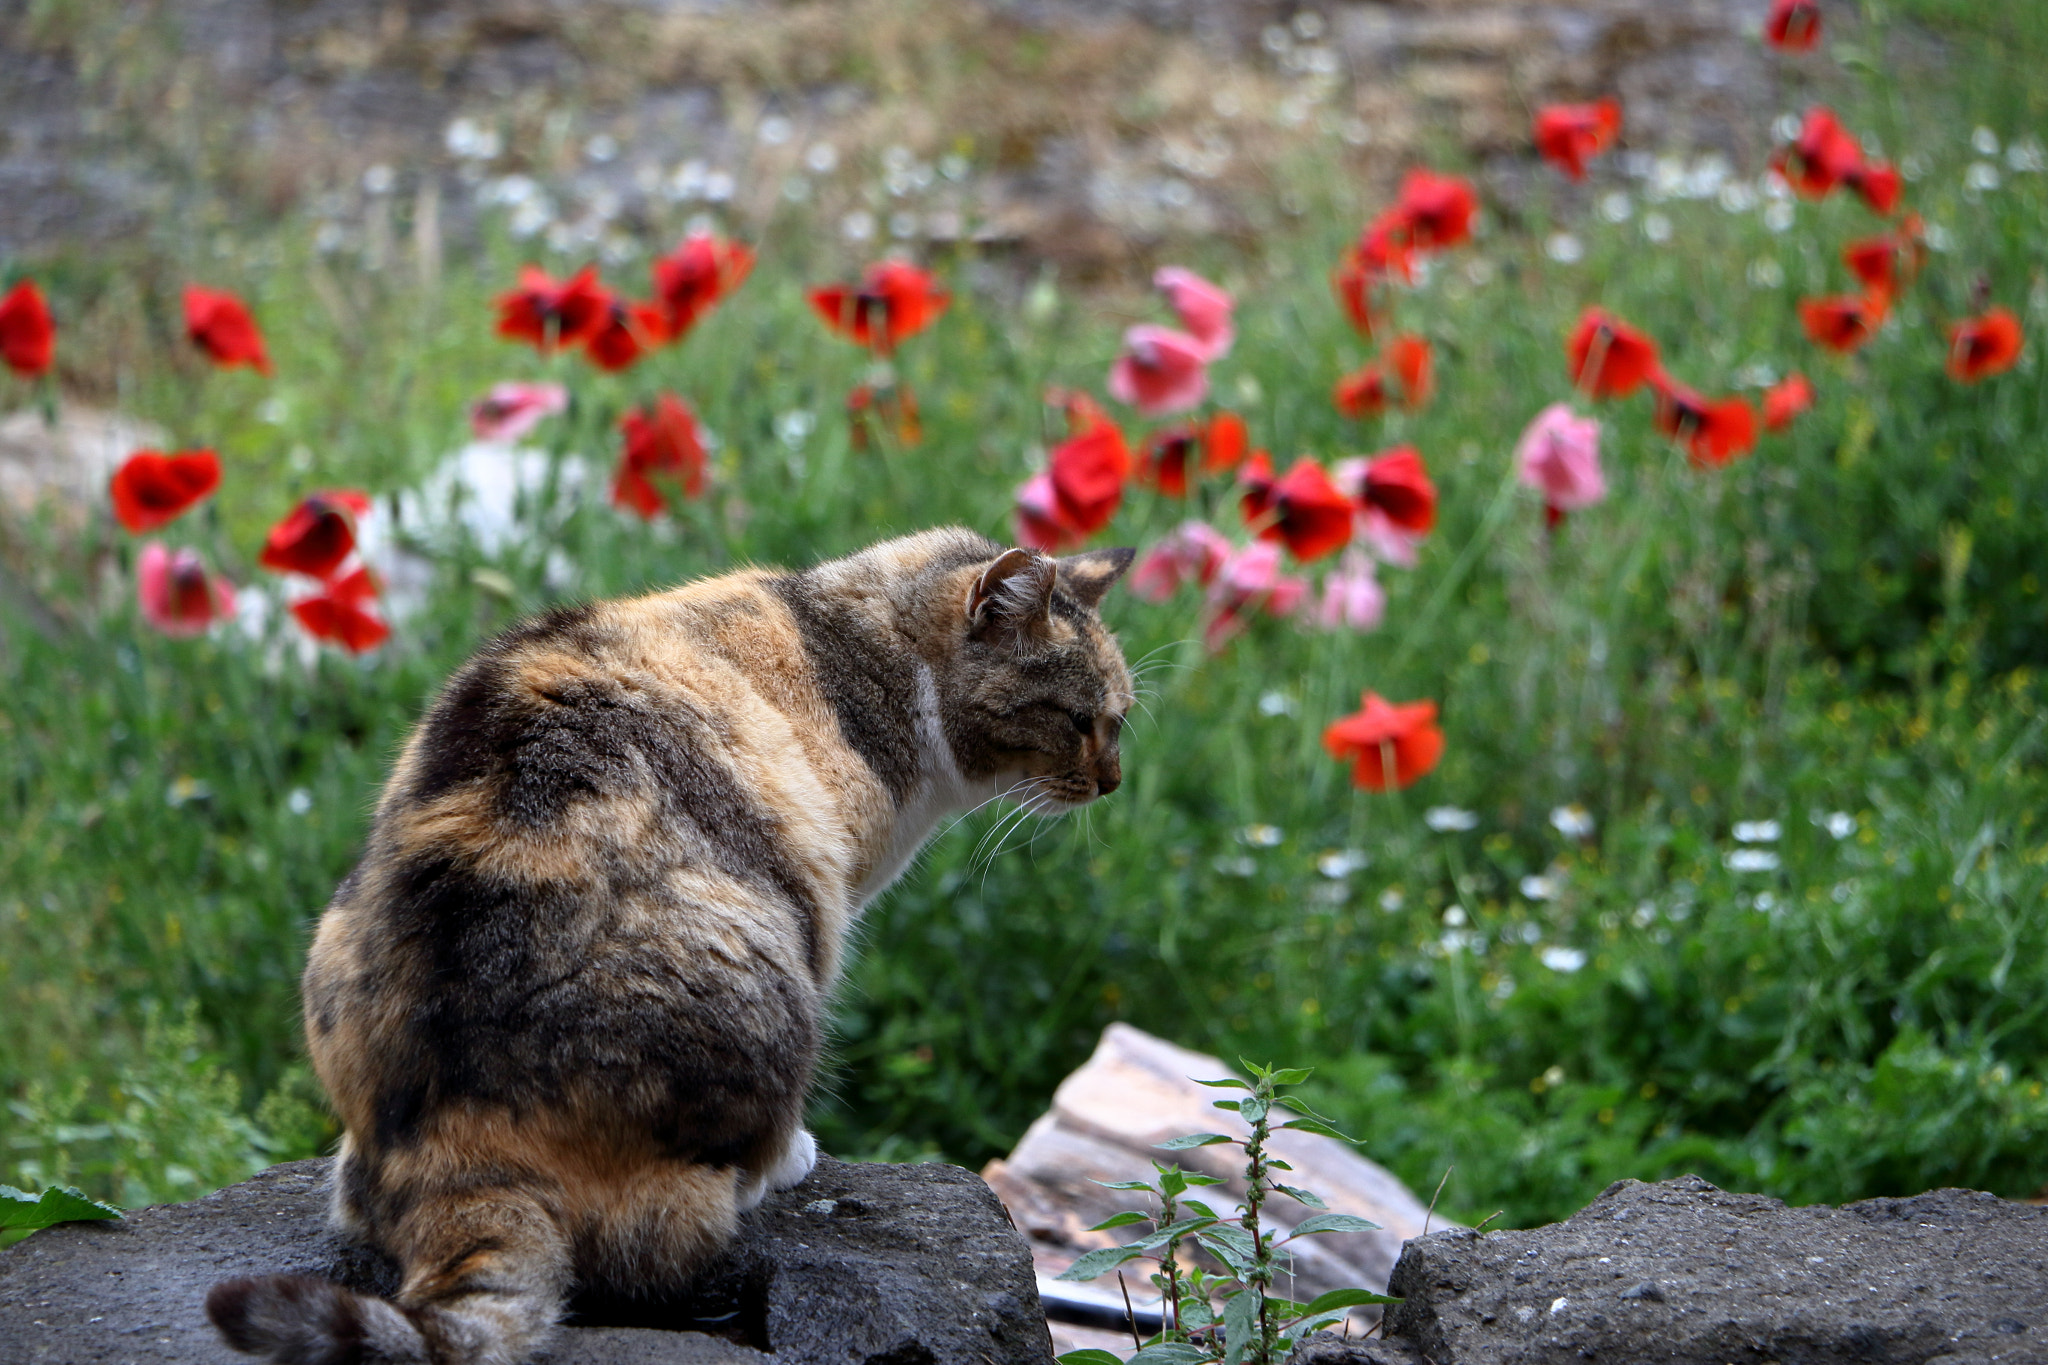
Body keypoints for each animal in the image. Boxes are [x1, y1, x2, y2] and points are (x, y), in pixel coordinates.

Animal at [203, 532, 1138, 1365]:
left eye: (1122, 719)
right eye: (1078, 719)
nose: (1114, 783)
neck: (860, 638)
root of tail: (459, 1157)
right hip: (773, 975)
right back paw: (777, 1164)